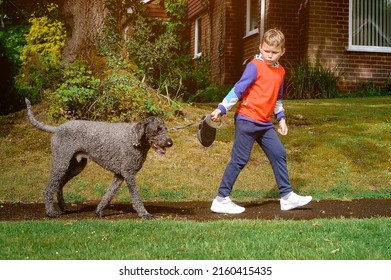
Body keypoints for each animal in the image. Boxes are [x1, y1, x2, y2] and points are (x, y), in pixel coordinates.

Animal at [24, 98, 172, 219]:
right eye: (157, 129)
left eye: (165, 128)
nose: (170, 142)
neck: (134, 137)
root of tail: (57, 128)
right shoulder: (129, 174)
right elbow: (136, 197)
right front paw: (144, 214)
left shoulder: (119, 175)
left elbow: (109, 194)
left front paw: (99, 211)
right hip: (61, 163)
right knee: (49, 188)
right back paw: (51, 213)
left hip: (75, 167)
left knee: (59, 185)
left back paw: (64, 208)